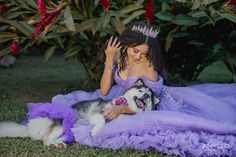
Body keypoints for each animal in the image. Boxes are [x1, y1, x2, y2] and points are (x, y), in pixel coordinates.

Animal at [0, 79, 159, 148]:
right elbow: (101, 121)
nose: (146, 96)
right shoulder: (97, 113)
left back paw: (61, 142)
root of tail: (29, 126)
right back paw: (56, 144)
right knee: (46, 139)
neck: (125, 108)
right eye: (141, 90)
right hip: (60, 125)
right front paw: (95, 132)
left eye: (150, 96)